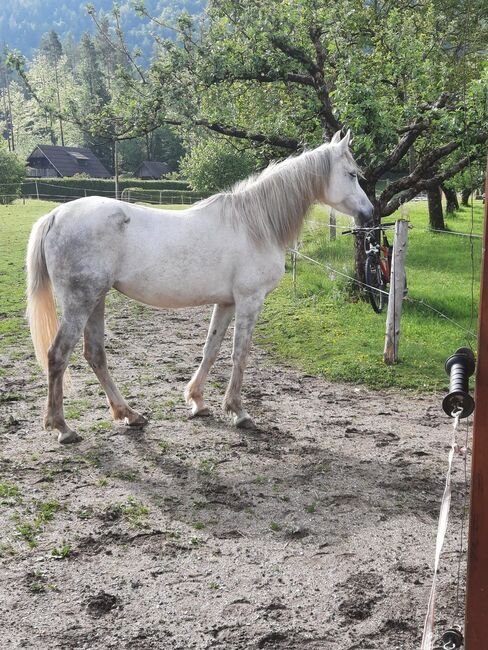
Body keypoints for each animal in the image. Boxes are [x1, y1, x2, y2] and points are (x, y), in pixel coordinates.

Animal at [25, 130, 370, 446]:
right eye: (352, 174)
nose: (368, 213)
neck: (255, 225)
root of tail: (56, 214)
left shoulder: (227, 303)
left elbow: (211, 349)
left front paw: (197, 401)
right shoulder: (250, 300)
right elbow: (239, 352)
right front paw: (238, 411)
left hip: (96, 300)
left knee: (95, 355)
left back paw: (129, 414)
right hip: (80, 302)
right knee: (58, 355)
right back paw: (63, 428)